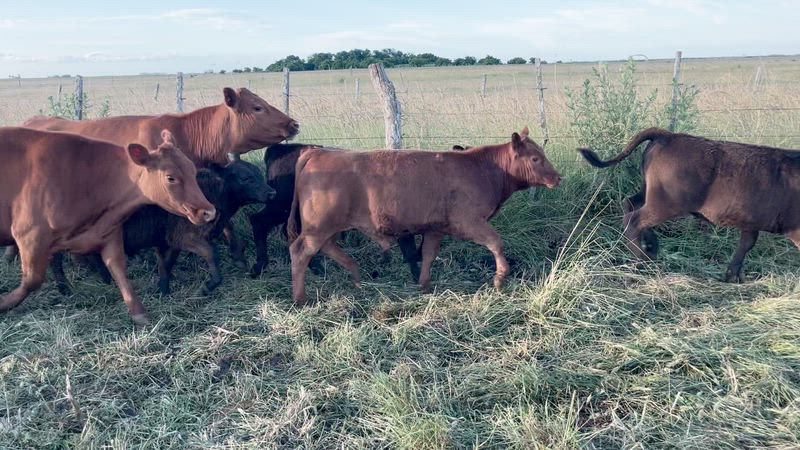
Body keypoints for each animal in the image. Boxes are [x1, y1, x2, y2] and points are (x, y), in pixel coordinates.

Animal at [0, 128, 215, 325]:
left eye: (193, 170)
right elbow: (32, 280)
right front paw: (4, 303)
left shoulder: (107, 233)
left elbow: (119, 271)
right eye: (171, 177)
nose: (209, 212)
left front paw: (139, 313)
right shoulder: (31, 236)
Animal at [51, 160, 275, 296]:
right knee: (57, 260)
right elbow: (211, 253)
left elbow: (167, 263)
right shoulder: (186, 237)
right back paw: (65, 288)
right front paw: (209, 285)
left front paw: (163, 288)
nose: (272, 193)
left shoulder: (171, 240)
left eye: (258, 173)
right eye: (245, 178)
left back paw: (105, 280)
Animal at [287, 127, 561, 305]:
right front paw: (500, 278)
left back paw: (356, 276)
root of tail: (316, 153)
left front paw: (424, 285)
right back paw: (301, 298)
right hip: (318, 227)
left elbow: (429, 255)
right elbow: (496, 242)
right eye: (535, 158)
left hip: (328, 227)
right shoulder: (469, 221)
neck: (483, 169)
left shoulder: (435, 228)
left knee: (327, 248)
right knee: (301, 251)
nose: (557, 178)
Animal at [578, 127, 800, 282]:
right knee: (635, 220)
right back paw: (642, 260)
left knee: (630, 205)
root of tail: (668, 135)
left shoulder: (750, 221)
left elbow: (746, 243)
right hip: (665, 203)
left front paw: (732, 275)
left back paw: (650, 247)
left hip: (650, 194)